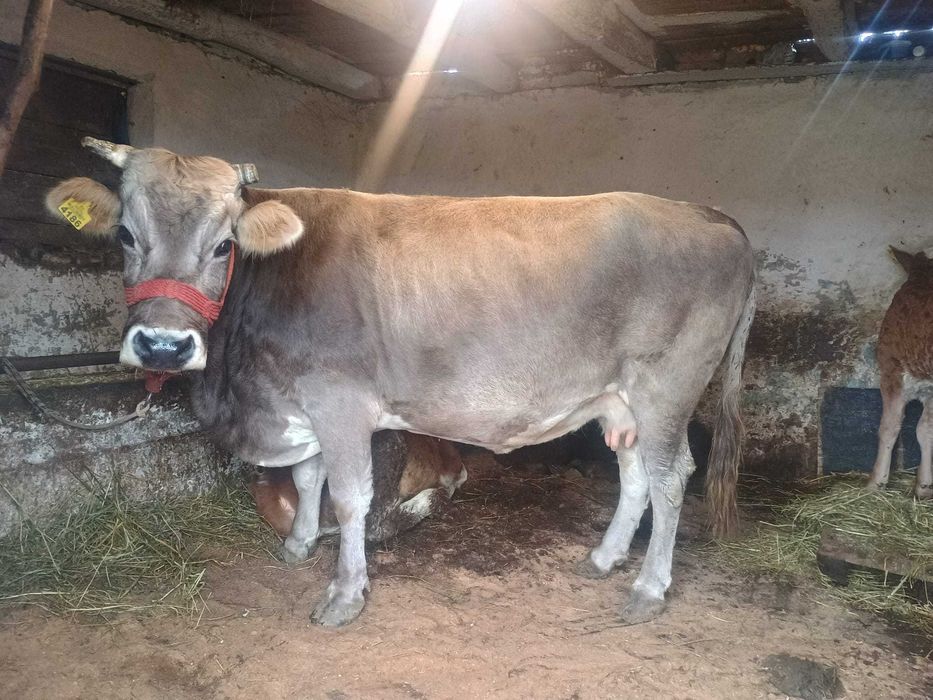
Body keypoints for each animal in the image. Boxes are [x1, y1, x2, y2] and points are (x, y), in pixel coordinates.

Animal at [46, 138, 756, 627]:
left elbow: (350, 497)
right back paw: (606, 559)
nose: (163, 344)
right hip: (617, 401)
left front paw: (343, 594)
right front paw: (298, 546)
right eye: (125, 235)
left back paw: (648, 589)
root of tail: (711, 215)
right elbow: (308, 476)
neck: (245, 390)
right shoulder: (301, 401)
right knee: (634, 476)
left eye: (225, 245)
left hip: (666, 390)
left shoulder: (339, 400)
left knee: (671, 478)